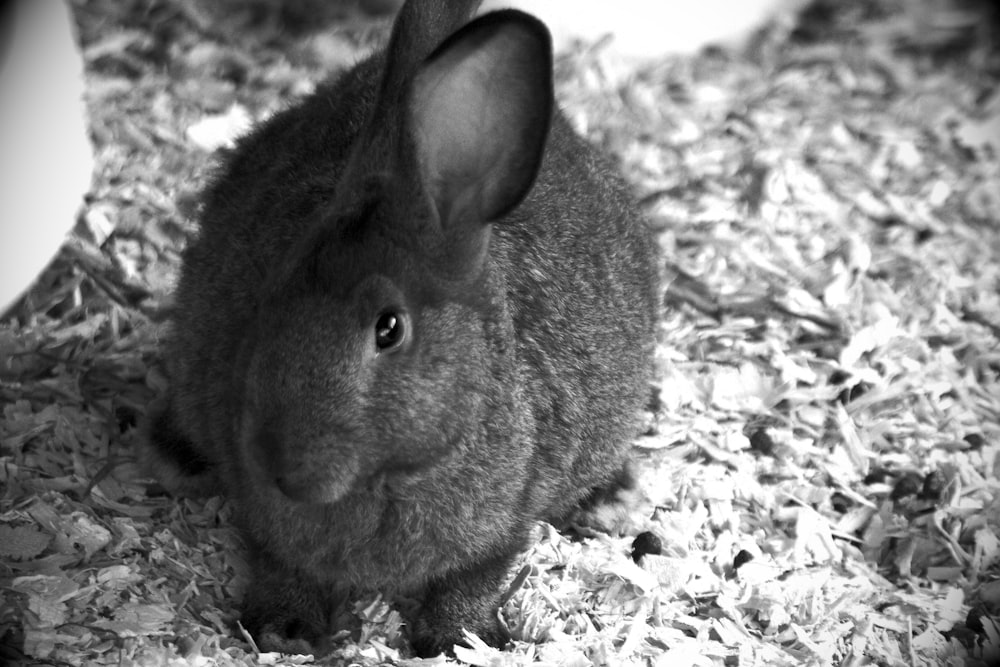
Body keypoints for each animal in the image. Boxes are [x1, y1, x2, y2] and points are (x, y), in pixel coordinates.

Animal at [141, 0, 656, 656]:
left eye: (389, 329)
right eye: (269, 297)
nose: (282, 466)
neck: (389, 477)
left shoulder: (505, 524)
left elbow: (475, 576)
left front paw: (458, 638)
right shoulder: (264, 519)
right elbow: (279, 563)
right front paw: (286, 630)